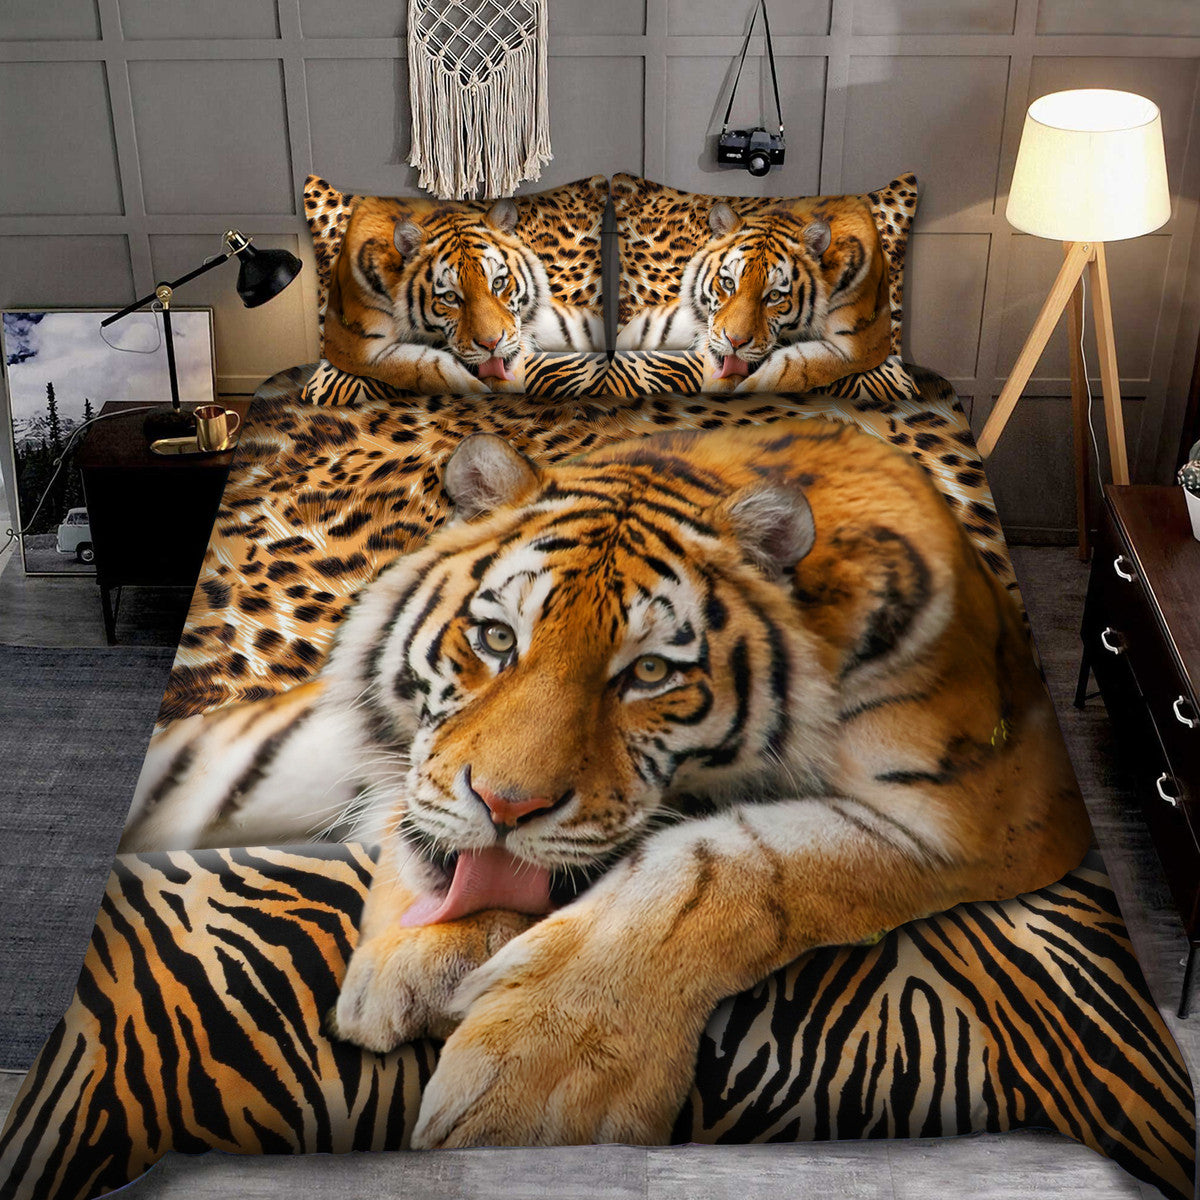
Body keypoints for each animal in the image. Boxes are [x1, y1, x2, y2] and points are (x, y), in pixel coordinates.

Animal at [121, 418, 1090, 1148]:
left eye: (650, 674)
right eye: (498, 639)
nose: (505, 805)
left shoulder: (979, 803)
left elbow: (727, 870)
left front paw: (540, 1086)